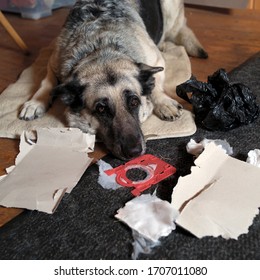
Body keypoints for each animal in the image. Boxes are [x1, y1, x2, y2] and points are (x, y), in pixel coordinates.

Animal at [18, 0, 207, 160]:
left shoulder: (157, 61)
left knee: (176, 31)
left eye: (134, 102)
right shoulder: (53, 61)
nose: (134, 152)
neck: (101, 47)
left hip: (170, 9)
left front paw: (163, 102)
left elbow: (155, 85)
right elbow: (46, 82)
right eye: (101, 109)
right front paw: (35, 102)